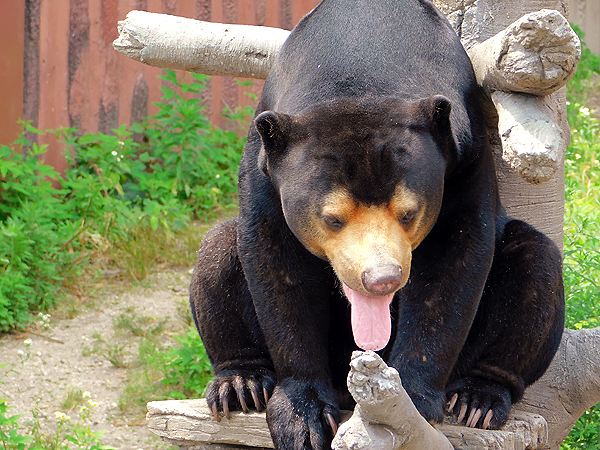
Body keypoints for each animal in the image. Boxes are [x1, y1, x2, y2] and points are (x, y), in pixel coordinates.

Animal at [190, 0, 564, 448]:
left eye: (408, 212)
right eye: (332, 218)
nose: (382, 279)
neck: (362, 66)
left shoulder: (463, 156)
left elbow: (454, 263)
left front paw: (412, 405)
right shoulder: (262, 165)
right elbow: (275, 263)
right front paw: (302, 417)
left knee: (535, 263)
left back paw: (477, 398)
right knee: (217, 250)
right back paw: (240, 383)